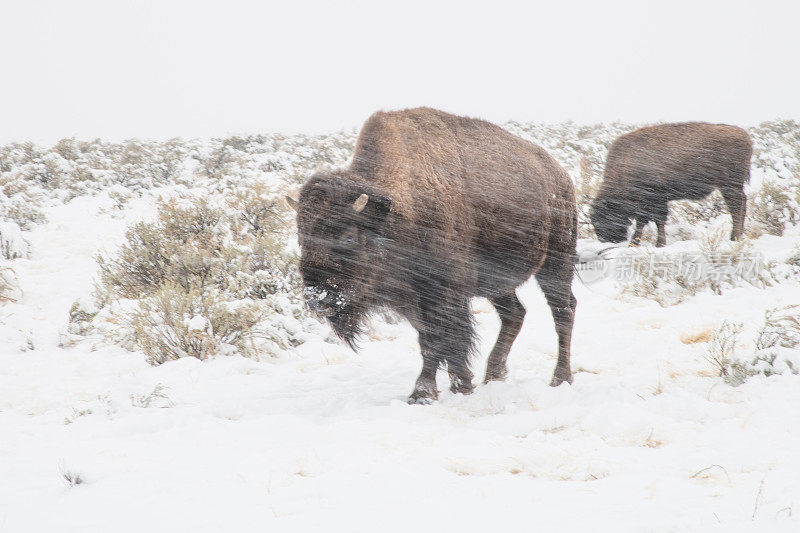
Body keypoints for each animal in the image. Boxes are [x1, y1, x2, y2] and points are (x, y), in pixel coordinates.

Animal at [290, 106, 580, 402]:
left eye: (348, 236)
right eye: (302, 238)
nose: (317, 299)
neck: (396, 210)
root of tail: (561, 175)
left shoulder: (442, 293)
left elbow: (439, 340)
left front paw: (427, 392)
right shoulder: (414, 298)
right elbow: (433, 339)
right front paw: (458, 383)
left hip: (557, 261)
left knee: (563, 310)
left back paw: (560, 378)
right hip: (498, 283)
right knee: (515, 313)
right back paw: (493, 374)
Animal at [592, 121, 752, 246]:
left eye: (602, 217)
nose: (603, 239)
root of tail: (745, 137)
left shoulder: (650, 200)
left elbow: (647, 221)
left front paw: (641, 243)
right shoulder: (658, 201)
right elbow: (657, 220)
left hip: (729, 185)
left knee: (736, 207)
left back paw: (734, 238)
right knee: (741, 205)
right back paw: (737, 236)